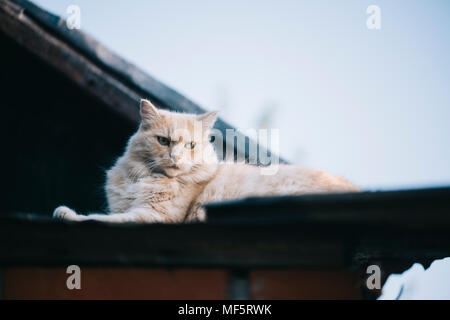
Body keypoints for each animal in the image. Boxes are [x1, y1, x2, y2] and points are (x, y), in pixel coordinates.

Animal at [54, 99, 358, 222]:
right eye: (163, 141)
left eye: (190, 145)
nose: (176, 157)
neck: (142, 179)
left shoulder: (151, 217)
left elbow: (98, 219)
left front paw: (67, 213)